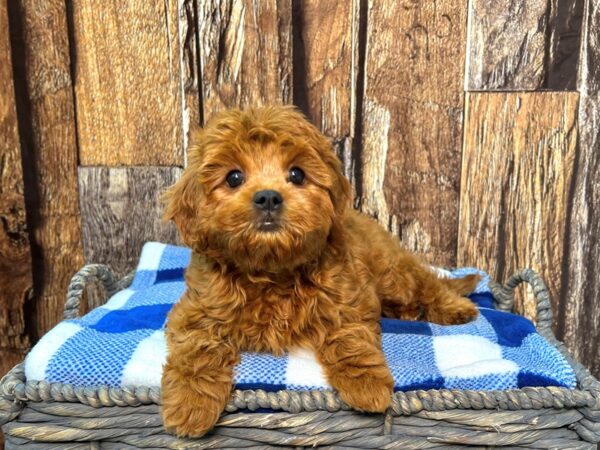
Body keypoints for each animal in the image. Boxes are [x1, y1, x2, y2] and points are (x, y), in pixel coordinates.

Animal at [159, 105, 478, 436]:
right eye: (234, 177)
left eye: (297, 174)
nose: (268, 196)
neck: (271, 269)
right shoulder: (196, 311)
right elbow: (198, 352)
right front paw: (191, 405)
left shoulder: (347, 298)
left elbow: (350, 338)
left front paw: (367, 385)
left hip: (392, 273)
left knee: (426, 281)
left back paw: (456, 308)